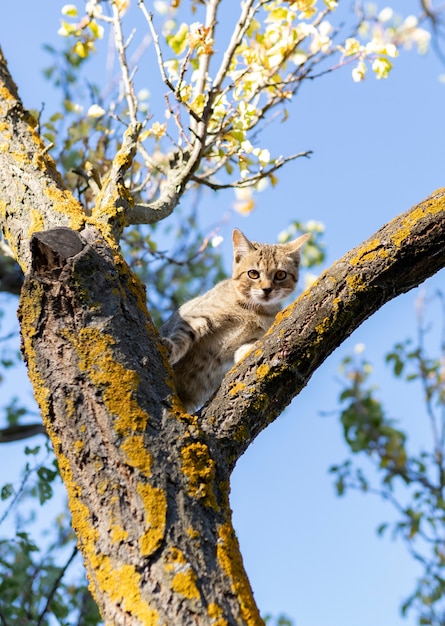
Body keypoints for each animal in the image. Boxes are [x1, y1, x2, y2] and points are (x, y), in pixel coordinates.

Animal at [160, 227, 308, 412]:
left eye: (280, 275)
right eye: (253, 274)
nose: (267, 289)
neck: (253, 310)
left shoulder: (257, 334)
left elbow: (248, 345)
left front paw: (247, 350)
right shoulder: (198, 316)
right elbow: (181, 336)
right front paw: (171, 348)